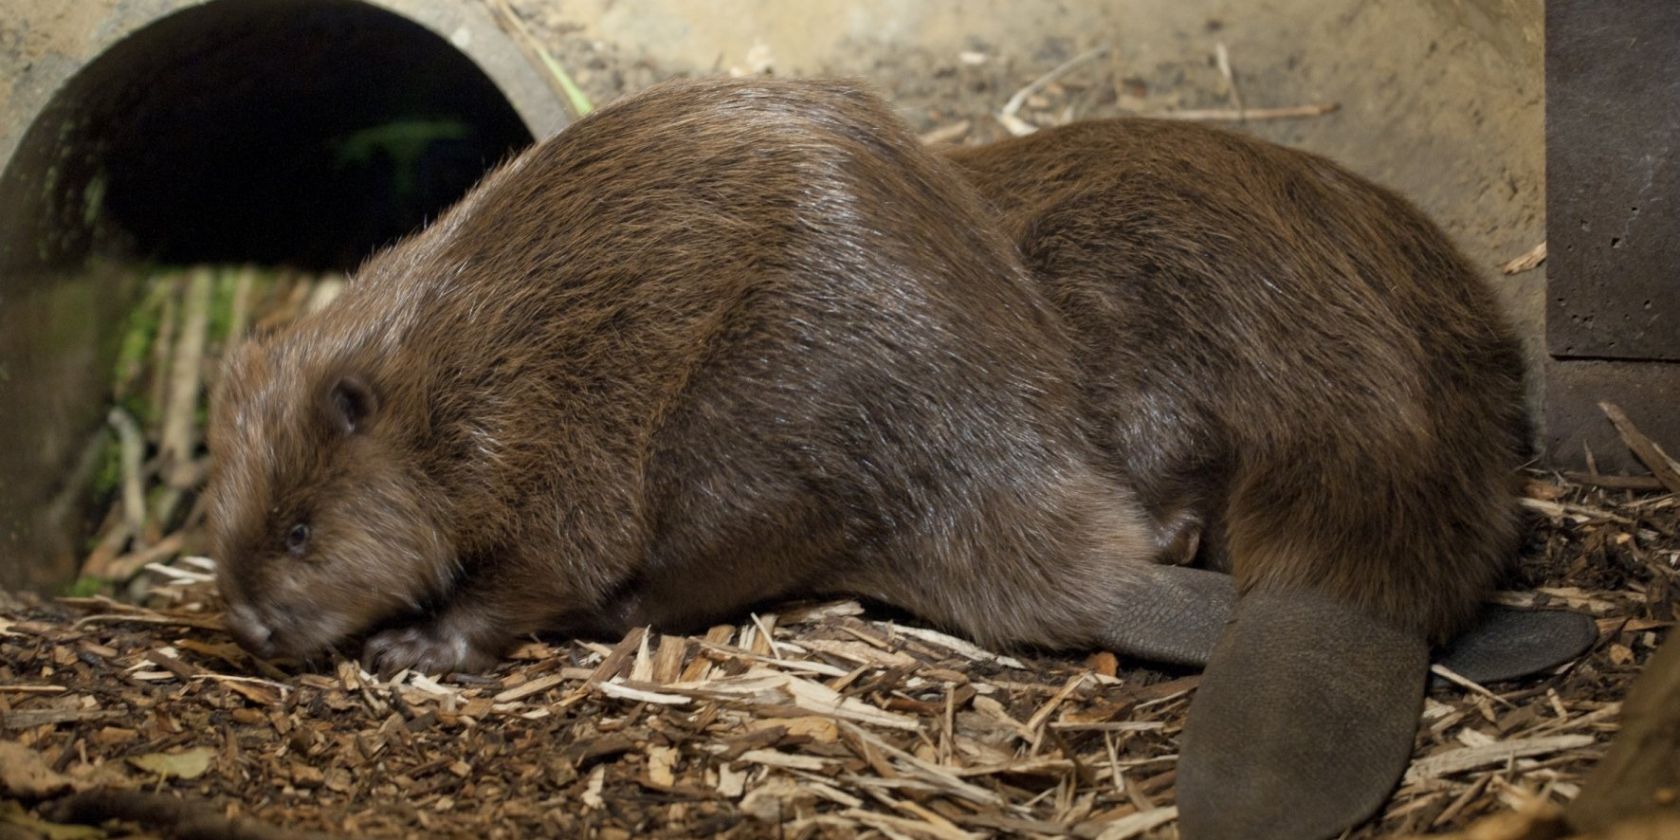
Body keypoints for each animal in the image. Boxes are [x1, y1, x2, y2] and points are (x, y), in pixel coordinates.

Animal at [206, 78, 1585, 840]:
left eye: (299, 530)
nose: (256, 629)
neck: (452, 364)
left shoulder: (547, 434)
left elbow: (544, 564)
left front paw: (413, 646)